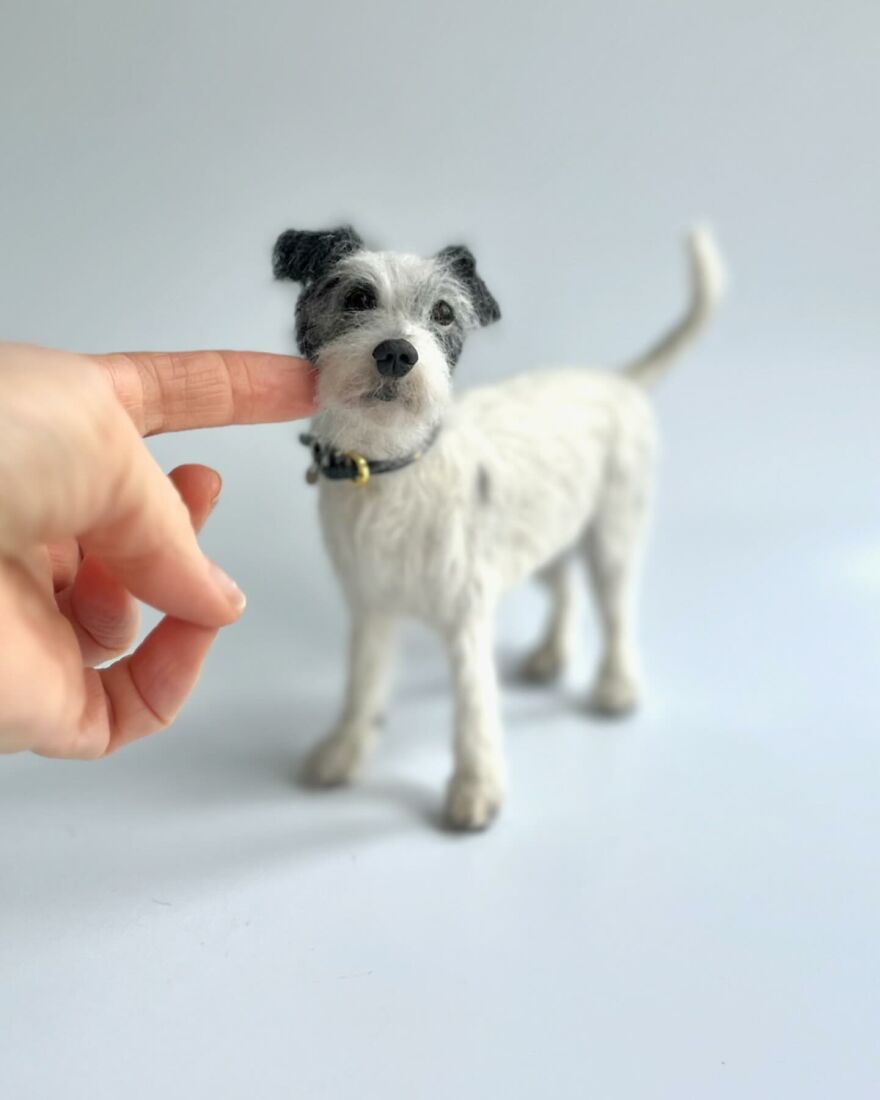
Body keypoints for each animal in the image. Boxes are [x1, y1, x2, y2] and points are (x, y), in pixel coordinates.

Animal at [272, 221, 721, 827]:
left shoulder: (467, 617)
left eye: (443, 312)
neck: (390, 468)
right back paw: (552, 654)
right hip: (542, 533)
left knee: (617, 610)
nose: (397, 353)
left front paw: (475, 787)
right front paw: (345, 750)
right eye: (358, 297)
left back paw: (617, 685)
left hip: (612, 535)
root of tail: (617, 382)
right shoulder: (371, 608)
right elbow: (363, 686)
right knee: (565, 586)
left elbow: (474, 706)